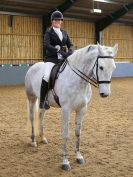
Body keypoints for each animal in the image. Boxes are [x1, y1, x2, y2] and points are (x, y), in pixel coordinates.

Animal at [24, 42, 117, 170]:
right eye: (101, 67)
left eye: (114, 68)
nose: (105, 93)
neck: (78, 81)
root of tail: (33, 66)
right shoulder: (66, 110)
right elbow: (65, 135)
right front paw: (65, 162)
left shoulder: (82, 109)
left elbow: (78, 133)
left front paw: (79, 156)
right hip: (31, 98)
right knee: (32, 118)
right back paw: (33, 141)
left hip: (44, 103)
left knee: (41, 116)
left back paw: (42, 138)